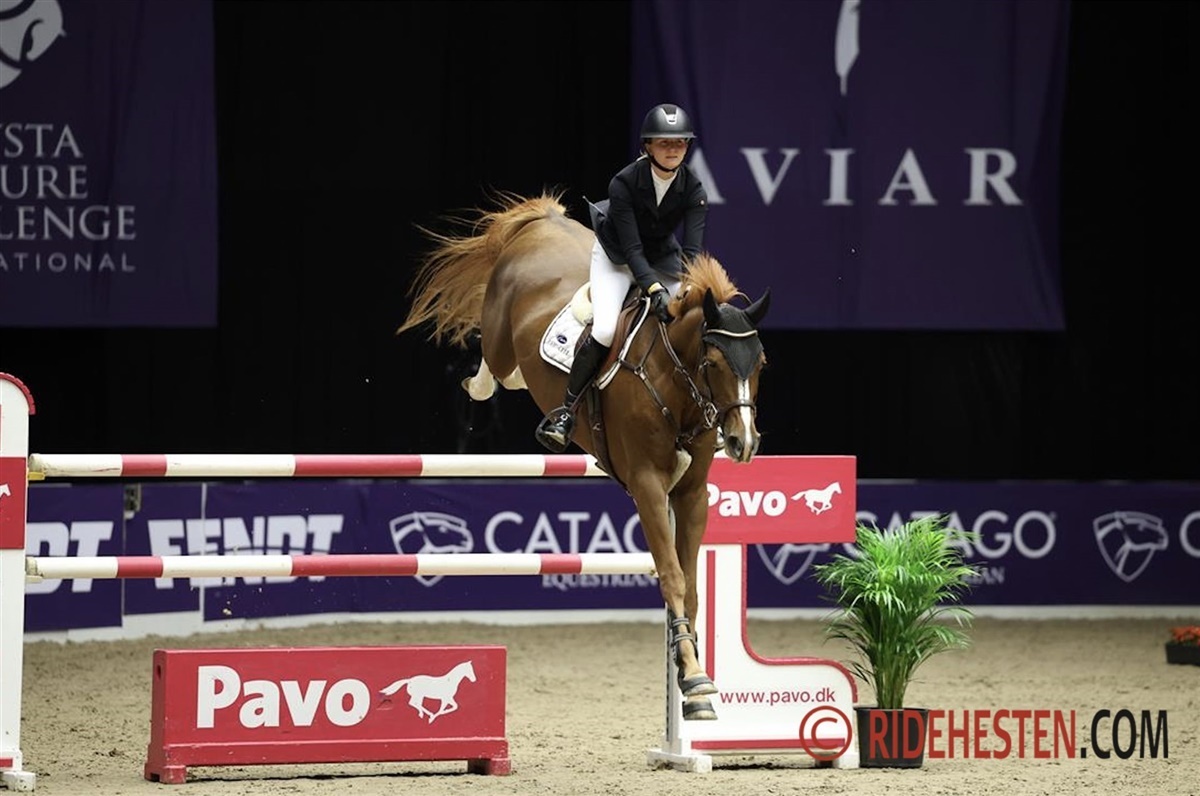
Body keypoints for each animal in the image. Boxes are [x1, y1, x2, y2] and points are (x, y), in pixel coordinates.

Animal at [397, 191, 770, 720]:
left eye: (760, 364)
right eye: (714, 363)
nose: (744, 443)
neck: (676, 383)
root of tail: (543, 223)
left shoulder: (692, 493)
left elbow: (693, 585)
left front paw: (689, 677)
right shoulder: (648, 486)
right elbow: (673, 577)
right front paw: (695, 679)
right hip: (501, 332)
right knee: (498, 364)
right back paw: (495, 391)